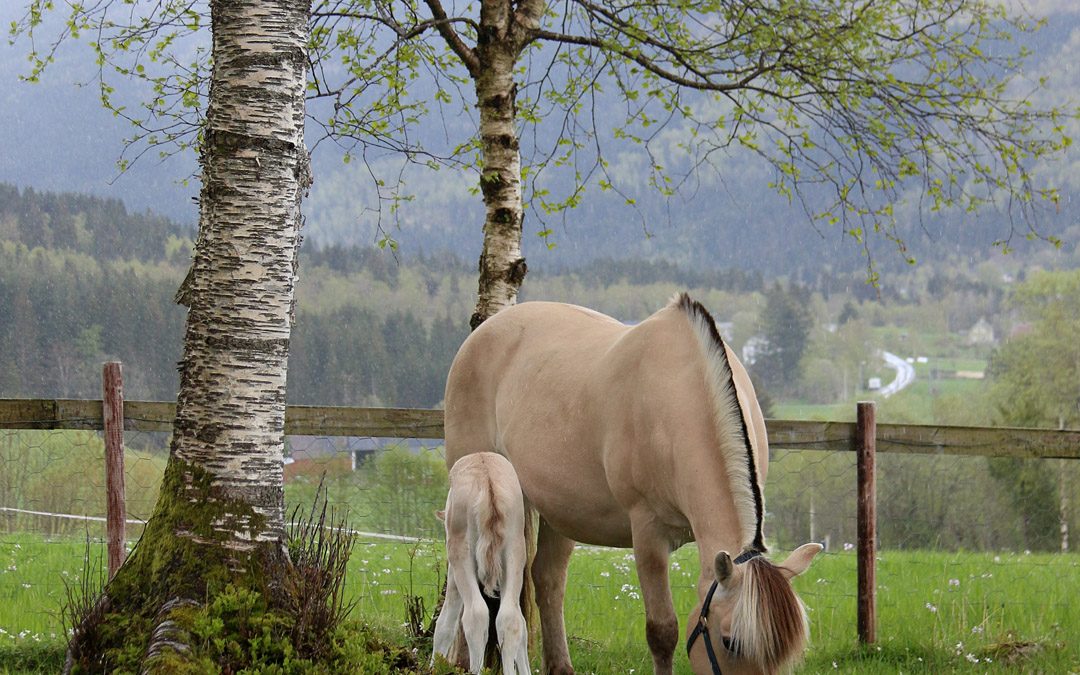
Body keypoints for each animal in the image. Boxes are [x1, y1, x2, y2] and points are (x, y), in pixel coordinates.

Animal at [432, 453, 529, 673]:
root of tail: (488, 480)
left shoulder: (453, 573)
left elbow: (445, 624)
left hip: (461, 555)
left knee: (475, 616)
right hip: (515, 551)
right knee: (510, 619)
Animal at [442, 293, 820, 673]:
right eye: (730, 641)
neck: (683, 397)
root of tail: (481, 334)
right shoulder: (648, 535)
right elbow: (662, 631)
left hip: (559, 512)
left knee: (548, 580)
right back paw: (460, 659)